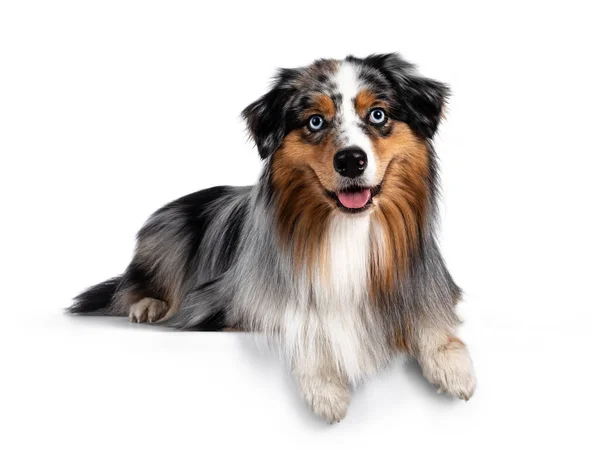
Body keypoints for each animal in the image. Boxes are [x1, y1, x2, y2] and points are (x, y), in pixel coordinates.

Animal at [69, 54, 474, 424]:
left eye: (377, 115)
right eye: (315, 121)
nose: (350, 161)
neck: (346, 227)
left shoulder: (425, 282)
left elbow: (430, 319)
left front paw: (454, 366)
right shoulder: (226, 302)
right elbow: (303, 320)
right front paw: (325, 386)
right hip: (169, 237)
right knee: (133, 285)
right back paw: (147, 305)